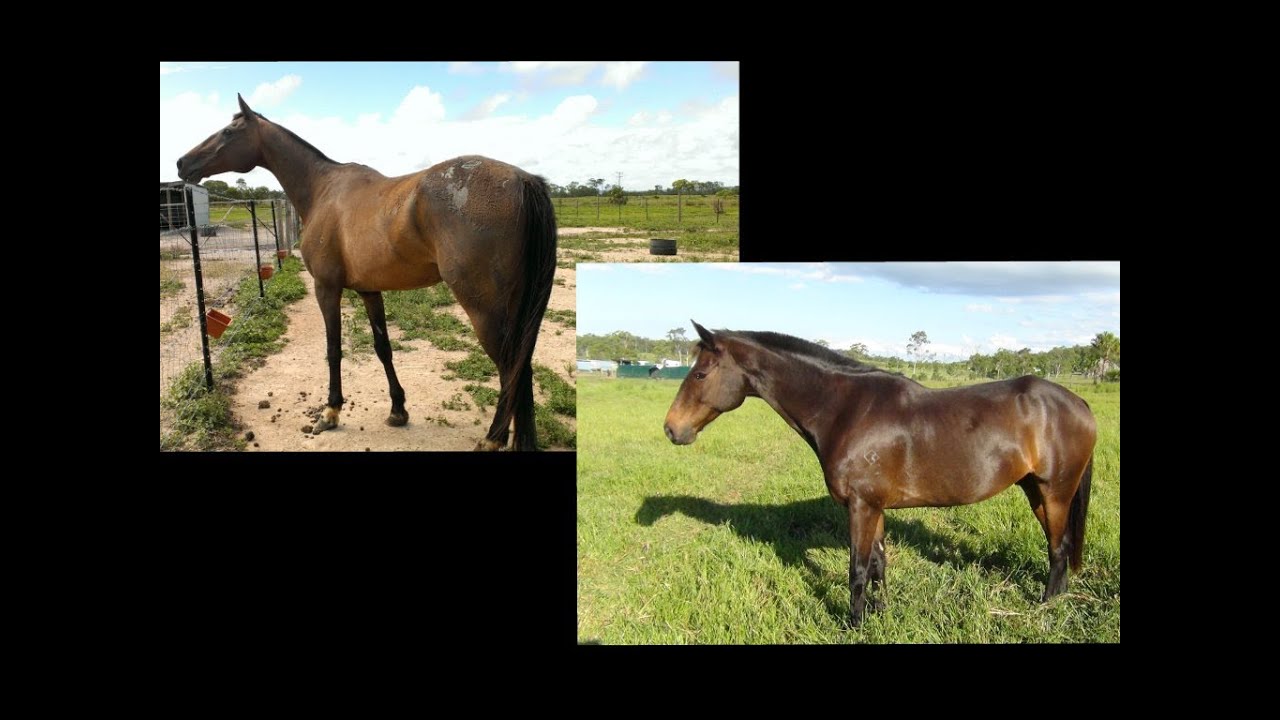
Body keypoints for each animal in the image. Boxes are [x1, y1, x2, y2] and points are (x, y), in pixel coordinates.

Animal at [177, 94, 557, 450]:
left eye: (229, 131)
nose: (183, 163)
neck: (322, 189)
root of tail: (523, 180)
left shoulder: (326, 288)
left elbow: (333, 349)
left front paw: (330, 412)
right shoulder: (369, 291)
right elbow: (383, 347)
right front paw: (398, 411)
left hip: (483, 309)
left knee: (511, 368)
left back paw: (492, 438)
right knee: (521, 367)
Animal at [663, 321, 1097, 626]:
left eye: (700, 374)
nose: (671, 429)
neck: (845, 409)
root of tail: (1078, 403)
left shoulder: (860, 505)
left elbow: (857, 569)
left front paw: (854, 623)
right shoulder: (876, 507)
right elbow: (878, 565)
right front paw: (881, 613)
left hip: (1055, 492)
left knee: (1058, 549)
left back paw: (1046, 608)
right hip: (1036, 490)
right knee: (1059, 546)